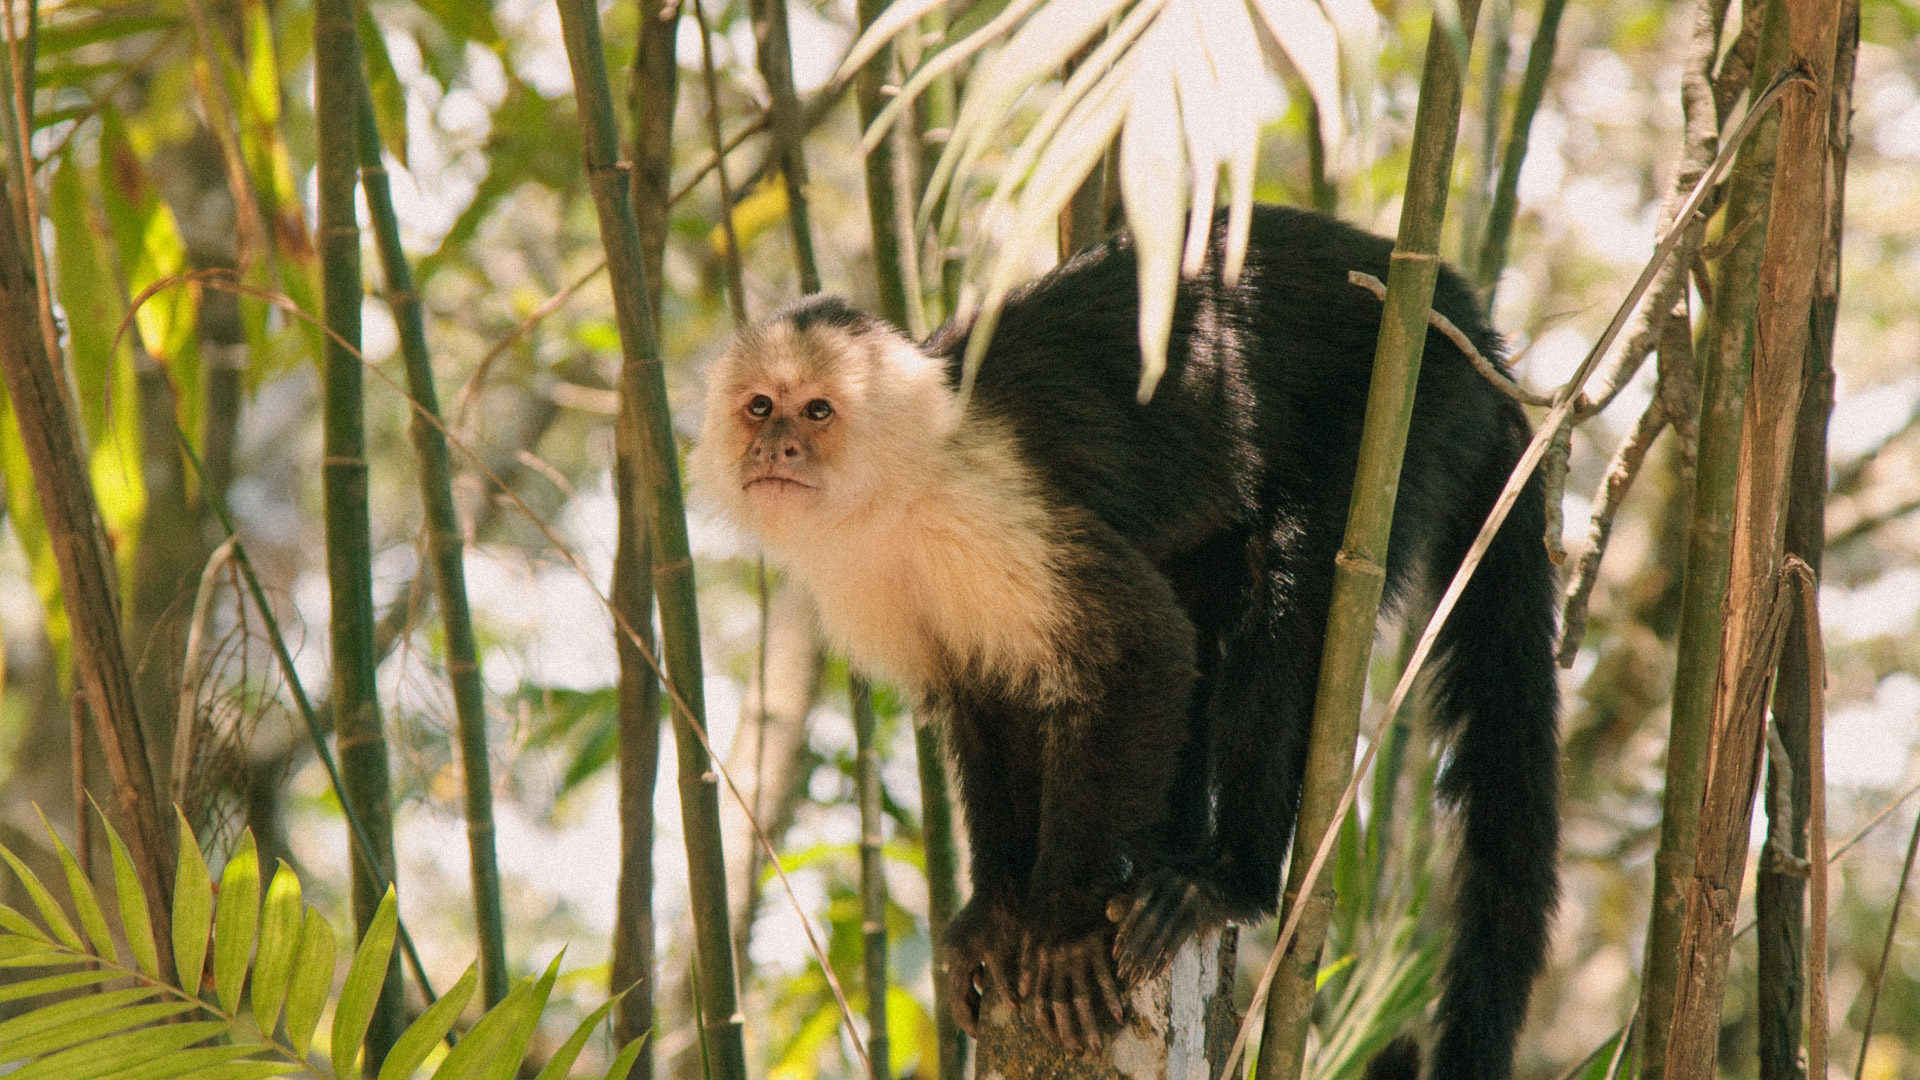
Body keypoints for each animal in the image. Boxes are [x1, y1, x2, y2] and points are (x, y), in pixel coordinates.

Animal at [691, 203, 1559, 1076]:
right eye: (761, 406)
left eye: (819, 411)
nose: (775, 448)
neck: (895, 493)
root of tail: (1469, 319)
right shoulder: (867, 578)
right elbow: (985, 699)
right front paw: (998, 910)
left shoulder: (990, 502)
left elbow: (1143, 649)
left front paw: (1064, 927)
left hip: (1409, 393)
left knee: (1292, 585)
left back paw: (1227, 877)